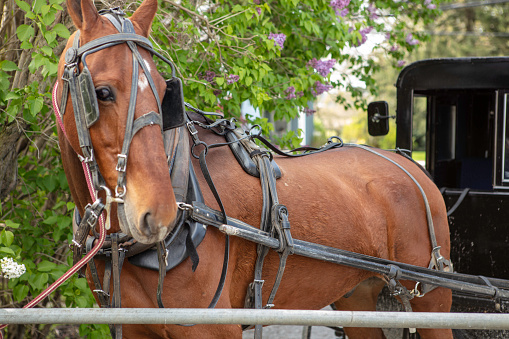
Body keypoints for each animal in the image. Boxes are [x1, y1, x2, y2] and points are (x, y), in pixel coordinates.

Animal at [55, 0, 452, 338]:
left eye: (165, 93)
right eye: (101, 93)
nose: (160, 212)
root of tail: (408, 162)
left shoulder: (214, 328)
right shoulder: (135, 327)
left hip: (432, 301)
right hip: (359, 297)